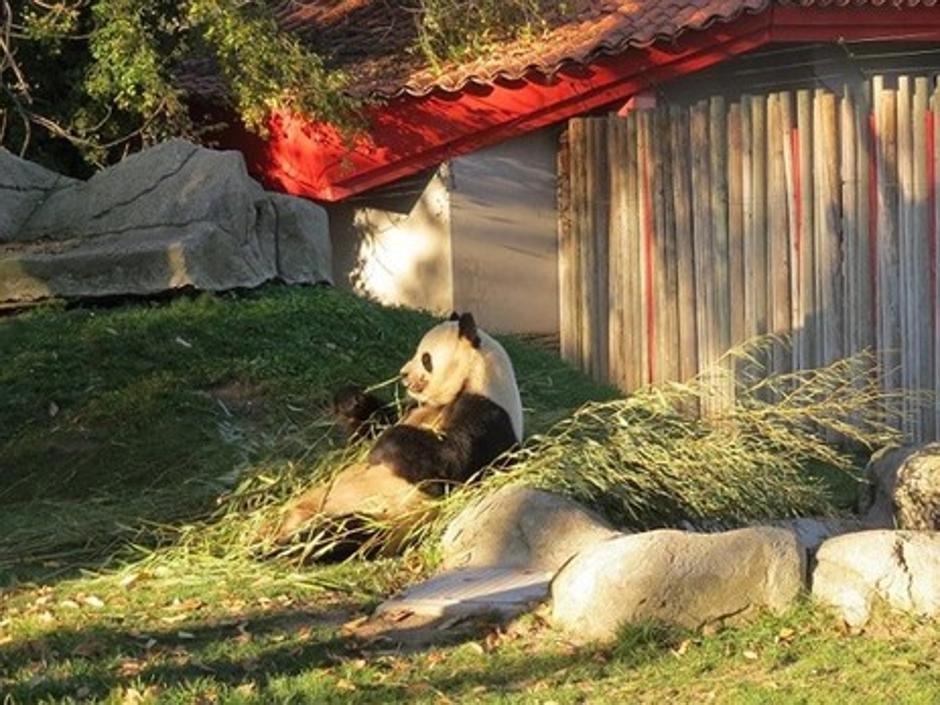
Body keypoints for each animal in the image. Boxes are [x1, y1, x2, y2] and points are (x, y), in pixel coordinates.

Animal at [276, 310, 524, 544]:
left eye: (425, 358)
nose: (403, 373)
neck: (471, 380)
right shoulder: (415, 407)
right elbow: (375, 425)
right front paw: (351, 401)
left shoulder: (489, 414)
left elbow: (451, 460)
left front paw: (383, 447)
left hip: (380, 518)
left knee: (337, 535)